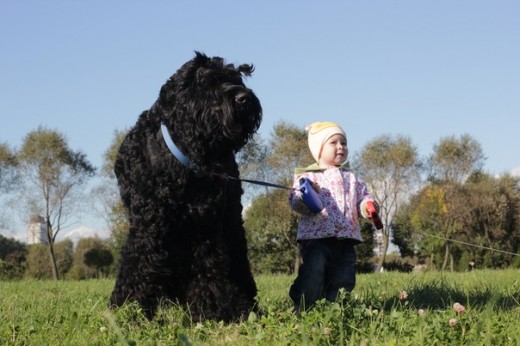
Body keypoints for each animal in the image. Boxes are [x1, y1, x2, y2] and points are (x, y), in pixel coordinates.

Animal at [110, 52, 264, 322]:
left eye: (236, 79)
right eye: (207, 82)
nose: (243, 98)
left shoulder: (205, 226)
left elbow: (209, 268)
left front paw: (214, 310)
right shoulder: (147, 226)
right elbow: (137, 264)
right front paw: (129, 308)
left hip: (232, 222)